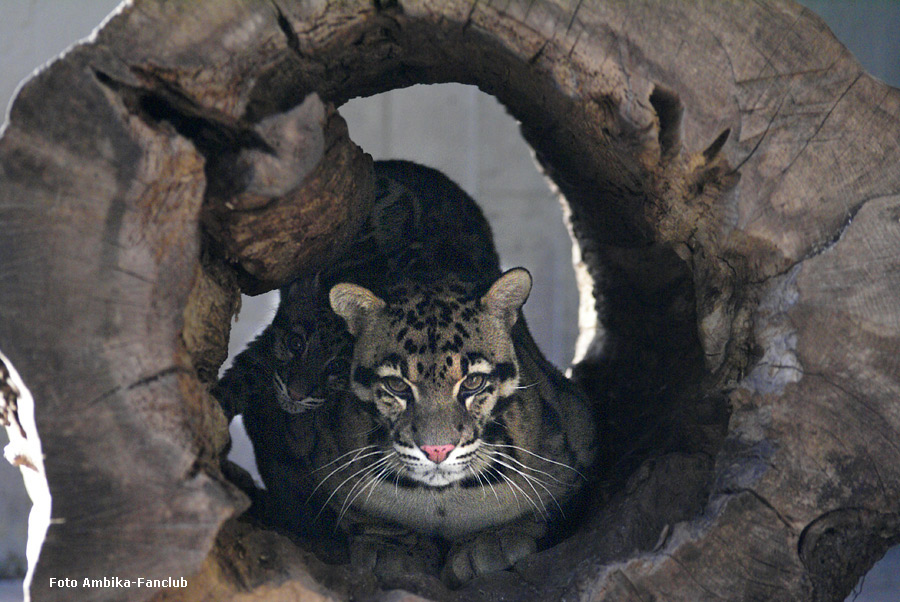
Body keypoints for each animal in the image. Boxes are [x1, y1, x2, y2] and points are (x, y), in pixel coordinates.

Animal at [215, 159, 596, 584]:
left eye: (473, 382)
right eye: (397, 386)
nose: (437, 450)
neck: (442, 498)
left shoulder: (578, 430)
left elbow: (548, 506)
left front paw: (497, 538)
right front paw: (393, 547)